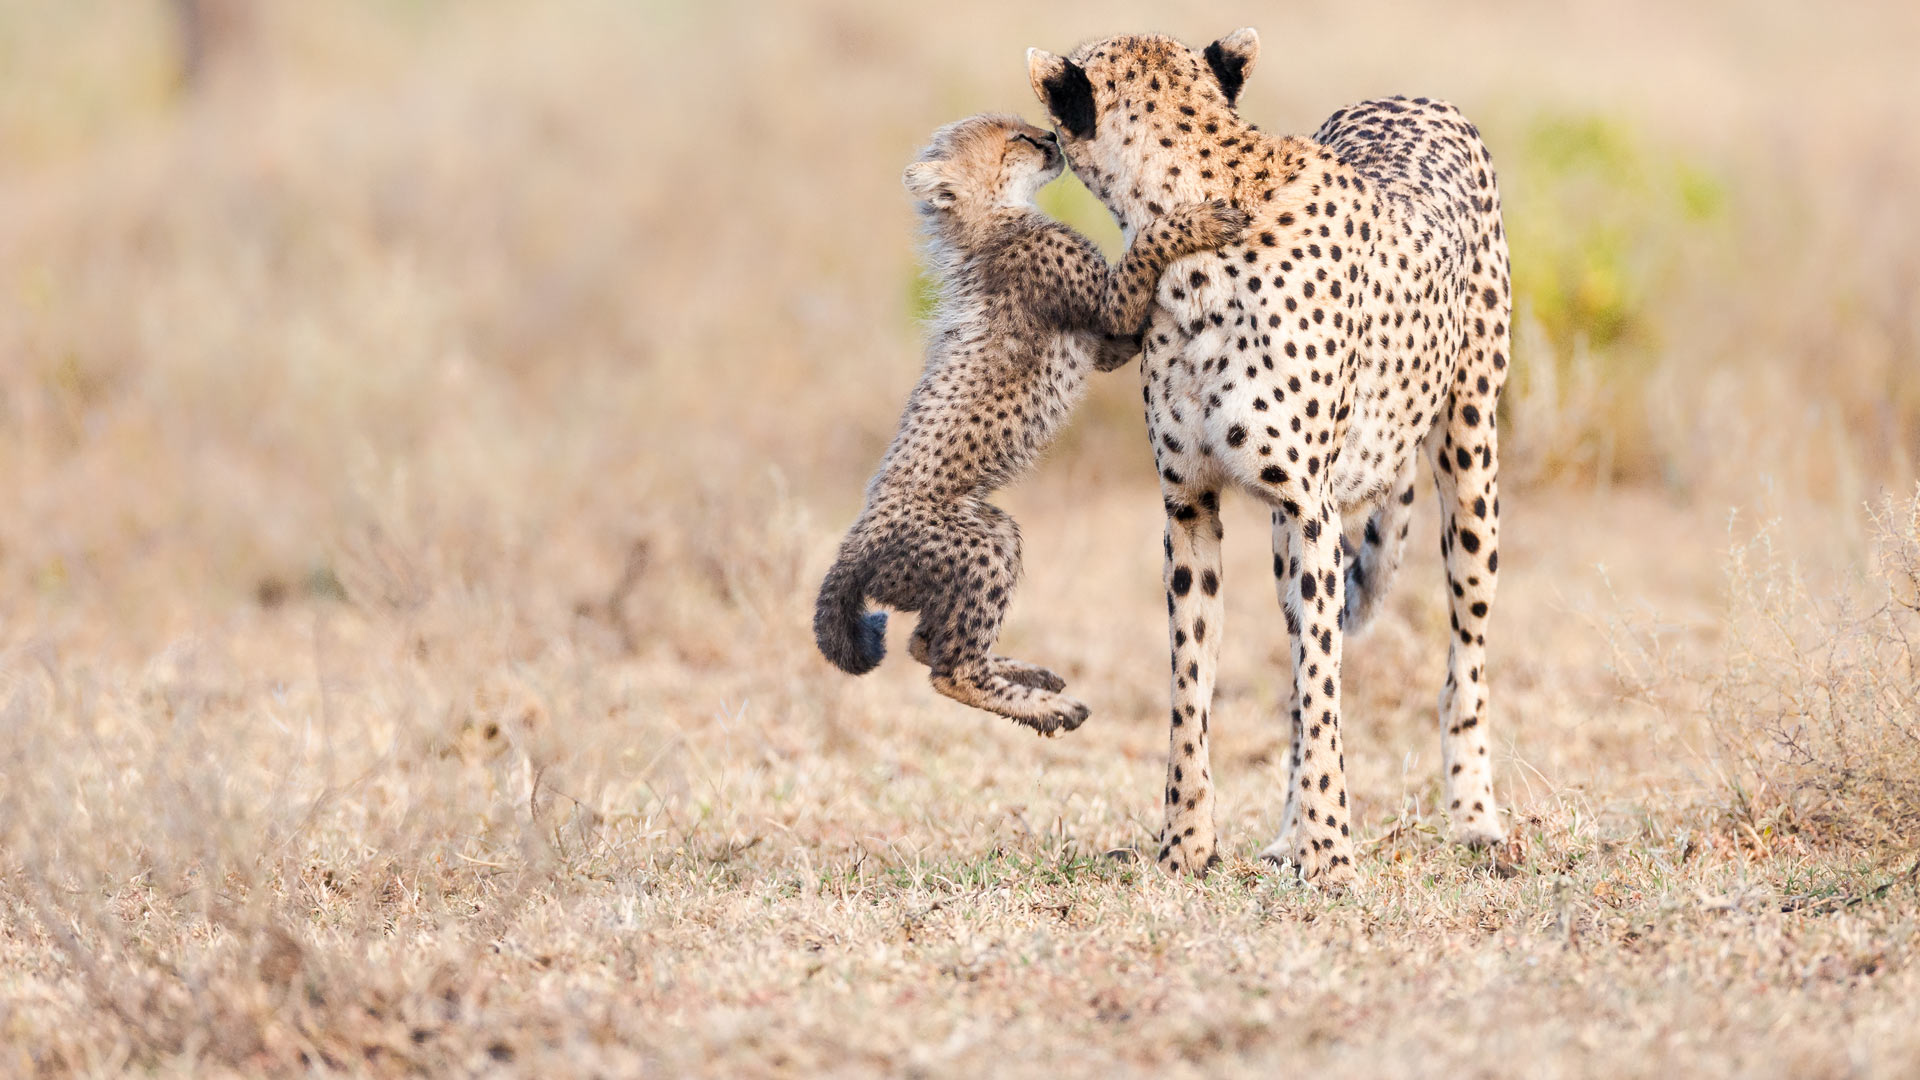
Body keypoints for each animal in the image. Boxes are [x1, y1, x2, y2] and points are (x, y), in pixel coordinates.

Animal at [813, 113, 1248, 736]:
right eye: (1016, 138)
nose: (1051, 138)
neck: (989, 224)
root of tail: (853, 546)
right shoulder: (1105, 308)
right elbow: (1144, 254)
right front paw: (1193, 220)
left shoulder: (1104, 344)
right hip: (981, 544)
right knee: (948, 670)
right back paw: (1048, 708)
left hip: (985, 533)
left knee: (928, 644)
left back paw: (1031, 675)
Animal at [1028, 28, 1512, 882]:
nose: (1041, 143)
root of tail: (1413, 97)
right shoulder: (1190, 506)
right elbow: (1194, 685)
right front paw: (1187, 845)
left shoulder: (1309, 507)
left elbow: (1321, 688)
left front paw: (1331, 851)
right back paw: (1285, 836)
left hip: (1470, 463)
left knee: (1465, 663)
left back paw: (1474, 817)